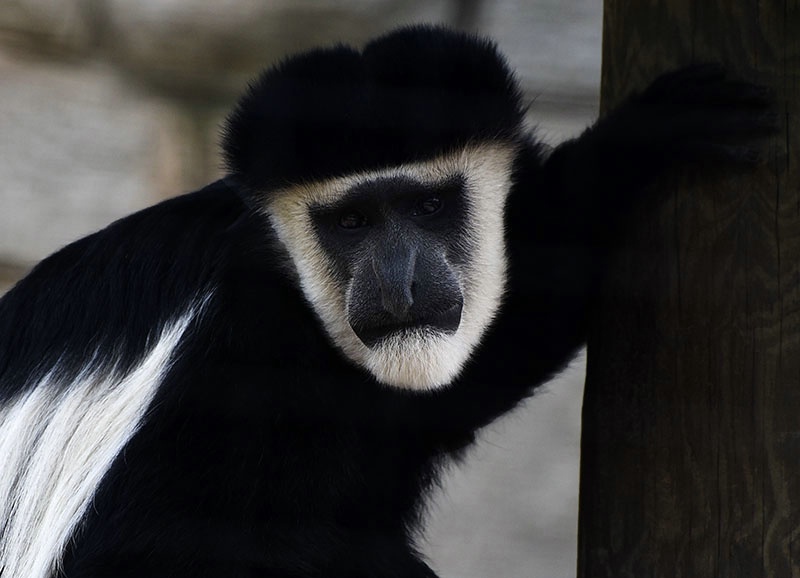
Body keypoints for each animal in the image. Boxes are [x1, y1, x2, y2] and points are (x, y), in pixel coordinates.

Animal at [0, 23, 776, 576]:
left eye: (429, 207)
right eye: (351, 223)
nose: (400, 284)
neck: (295, 304)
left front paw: (647, 139)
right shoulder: (216, 358)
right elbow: (147, 549)